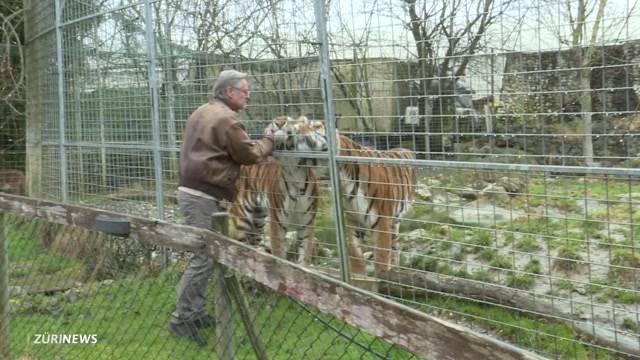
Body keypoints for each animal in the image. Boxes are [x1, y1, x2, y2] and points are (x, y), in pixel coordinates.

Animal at [230, 115, 328, 264]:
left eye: (291, 121)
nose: (279, 122)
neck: (294, 175)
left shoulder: (308, 226)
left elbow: (304, 258)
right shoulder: (277, 224)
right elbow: (280, 258)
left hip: (259, 219)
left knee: (254, 245)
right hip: (242, 219)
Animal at [276, 116, 418, 274]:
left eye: (316, 126)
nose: (293, 128)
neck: (342, 178)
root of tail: (405, 148)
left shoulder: (382, 221)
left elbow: (381, 257)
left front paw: (382, 276)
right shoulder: (353, 220)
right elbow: (355, 253)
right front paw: (358, 275)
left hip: (394, 220)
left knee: (394, 248)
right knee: (395, 246)